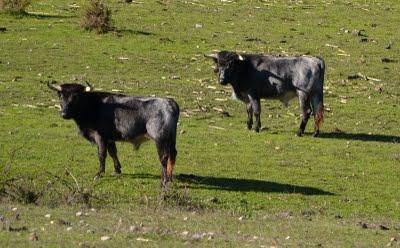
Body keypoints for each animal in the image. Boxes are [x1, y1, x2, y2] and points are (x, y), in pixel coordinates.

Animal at [47, 81, 179, 186]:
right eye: (61, 96)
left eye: (75, 97)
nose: (64, 114)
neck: (94, 105)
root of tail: (169, 102)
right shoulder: (109, 138)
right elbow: (113, 153)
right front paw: (117, 170)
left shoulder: (100, 137)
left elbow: (102, 155)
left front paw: (99, 173)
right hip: (171, 139)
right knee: (172, 155)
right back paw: (170, 178)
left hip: (161, 139)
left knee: (164, 157)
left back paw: (164, 181)